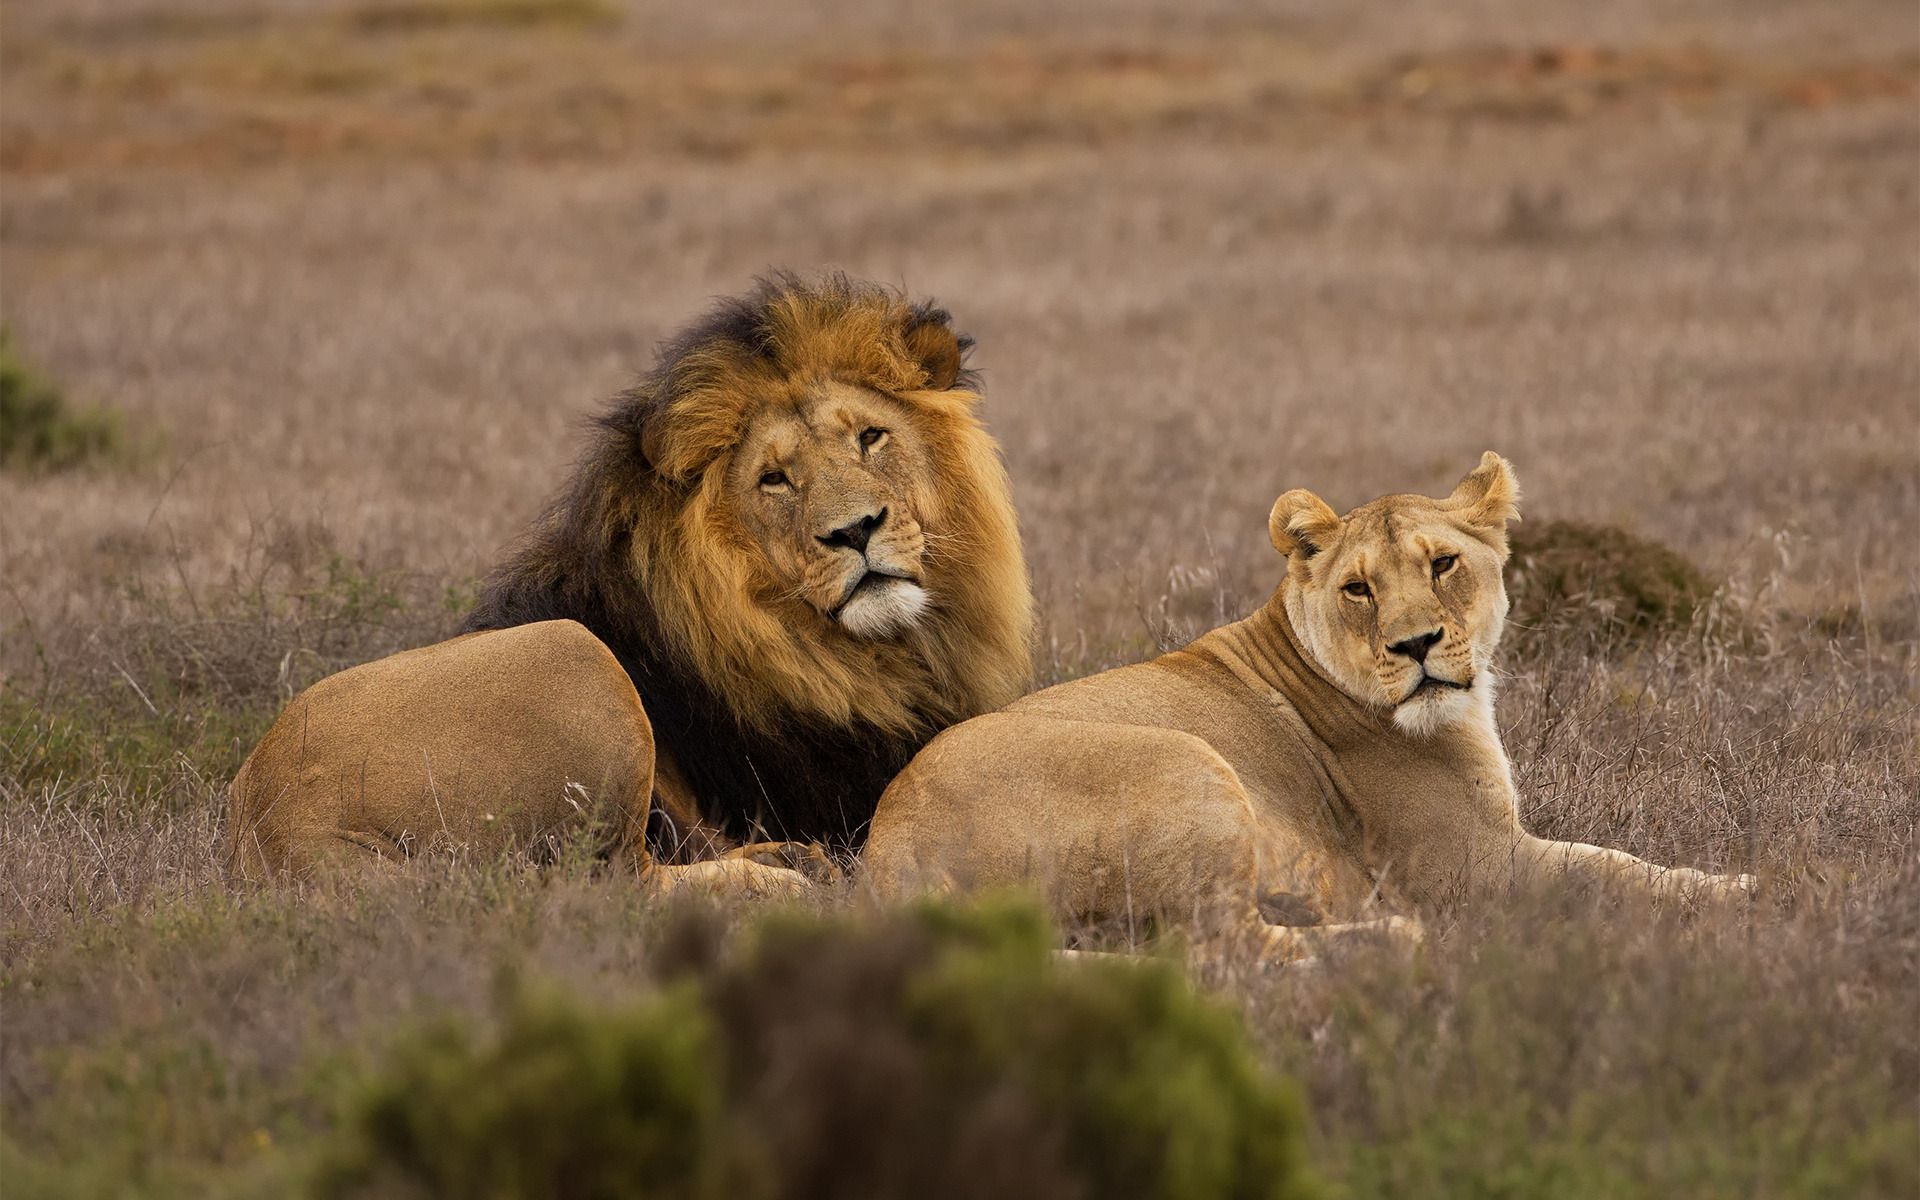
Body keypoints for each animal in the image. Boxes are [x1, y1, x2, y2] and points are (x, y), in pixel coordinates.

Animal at [222, 276, 1029, 883]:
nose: (855, 531)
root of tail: (266, 819)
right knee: (612, 882)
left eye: (870, 436)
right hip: (570, 658)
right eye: (773, 479)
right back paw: (786, 876)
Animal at [867, 449, 1758, 956]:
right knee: (1223, 952)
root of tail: (889, 853)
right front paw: (1744, 890)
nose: (1415, 646)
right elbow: (1614, 870)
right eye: (1359, 588)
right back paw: (1384, 938)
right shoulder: (1466, 863)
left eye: (1442, 565)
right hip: (1184, 761)